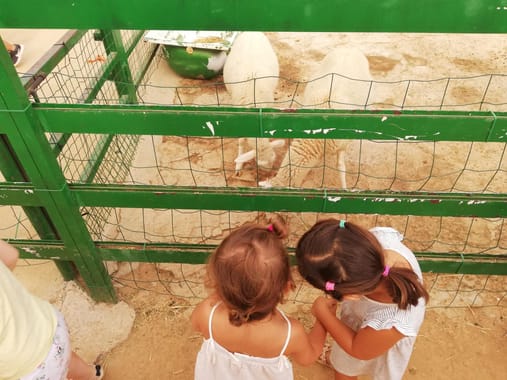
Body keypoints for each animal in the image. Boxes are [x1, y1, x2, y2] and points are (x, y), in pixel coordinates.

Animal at [223, 32, 286, 175]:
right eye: (259, 165)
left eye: (273, 159)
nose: (269, 174)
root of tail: (251, 32)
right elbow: (241, 141)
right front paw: (238, 166)